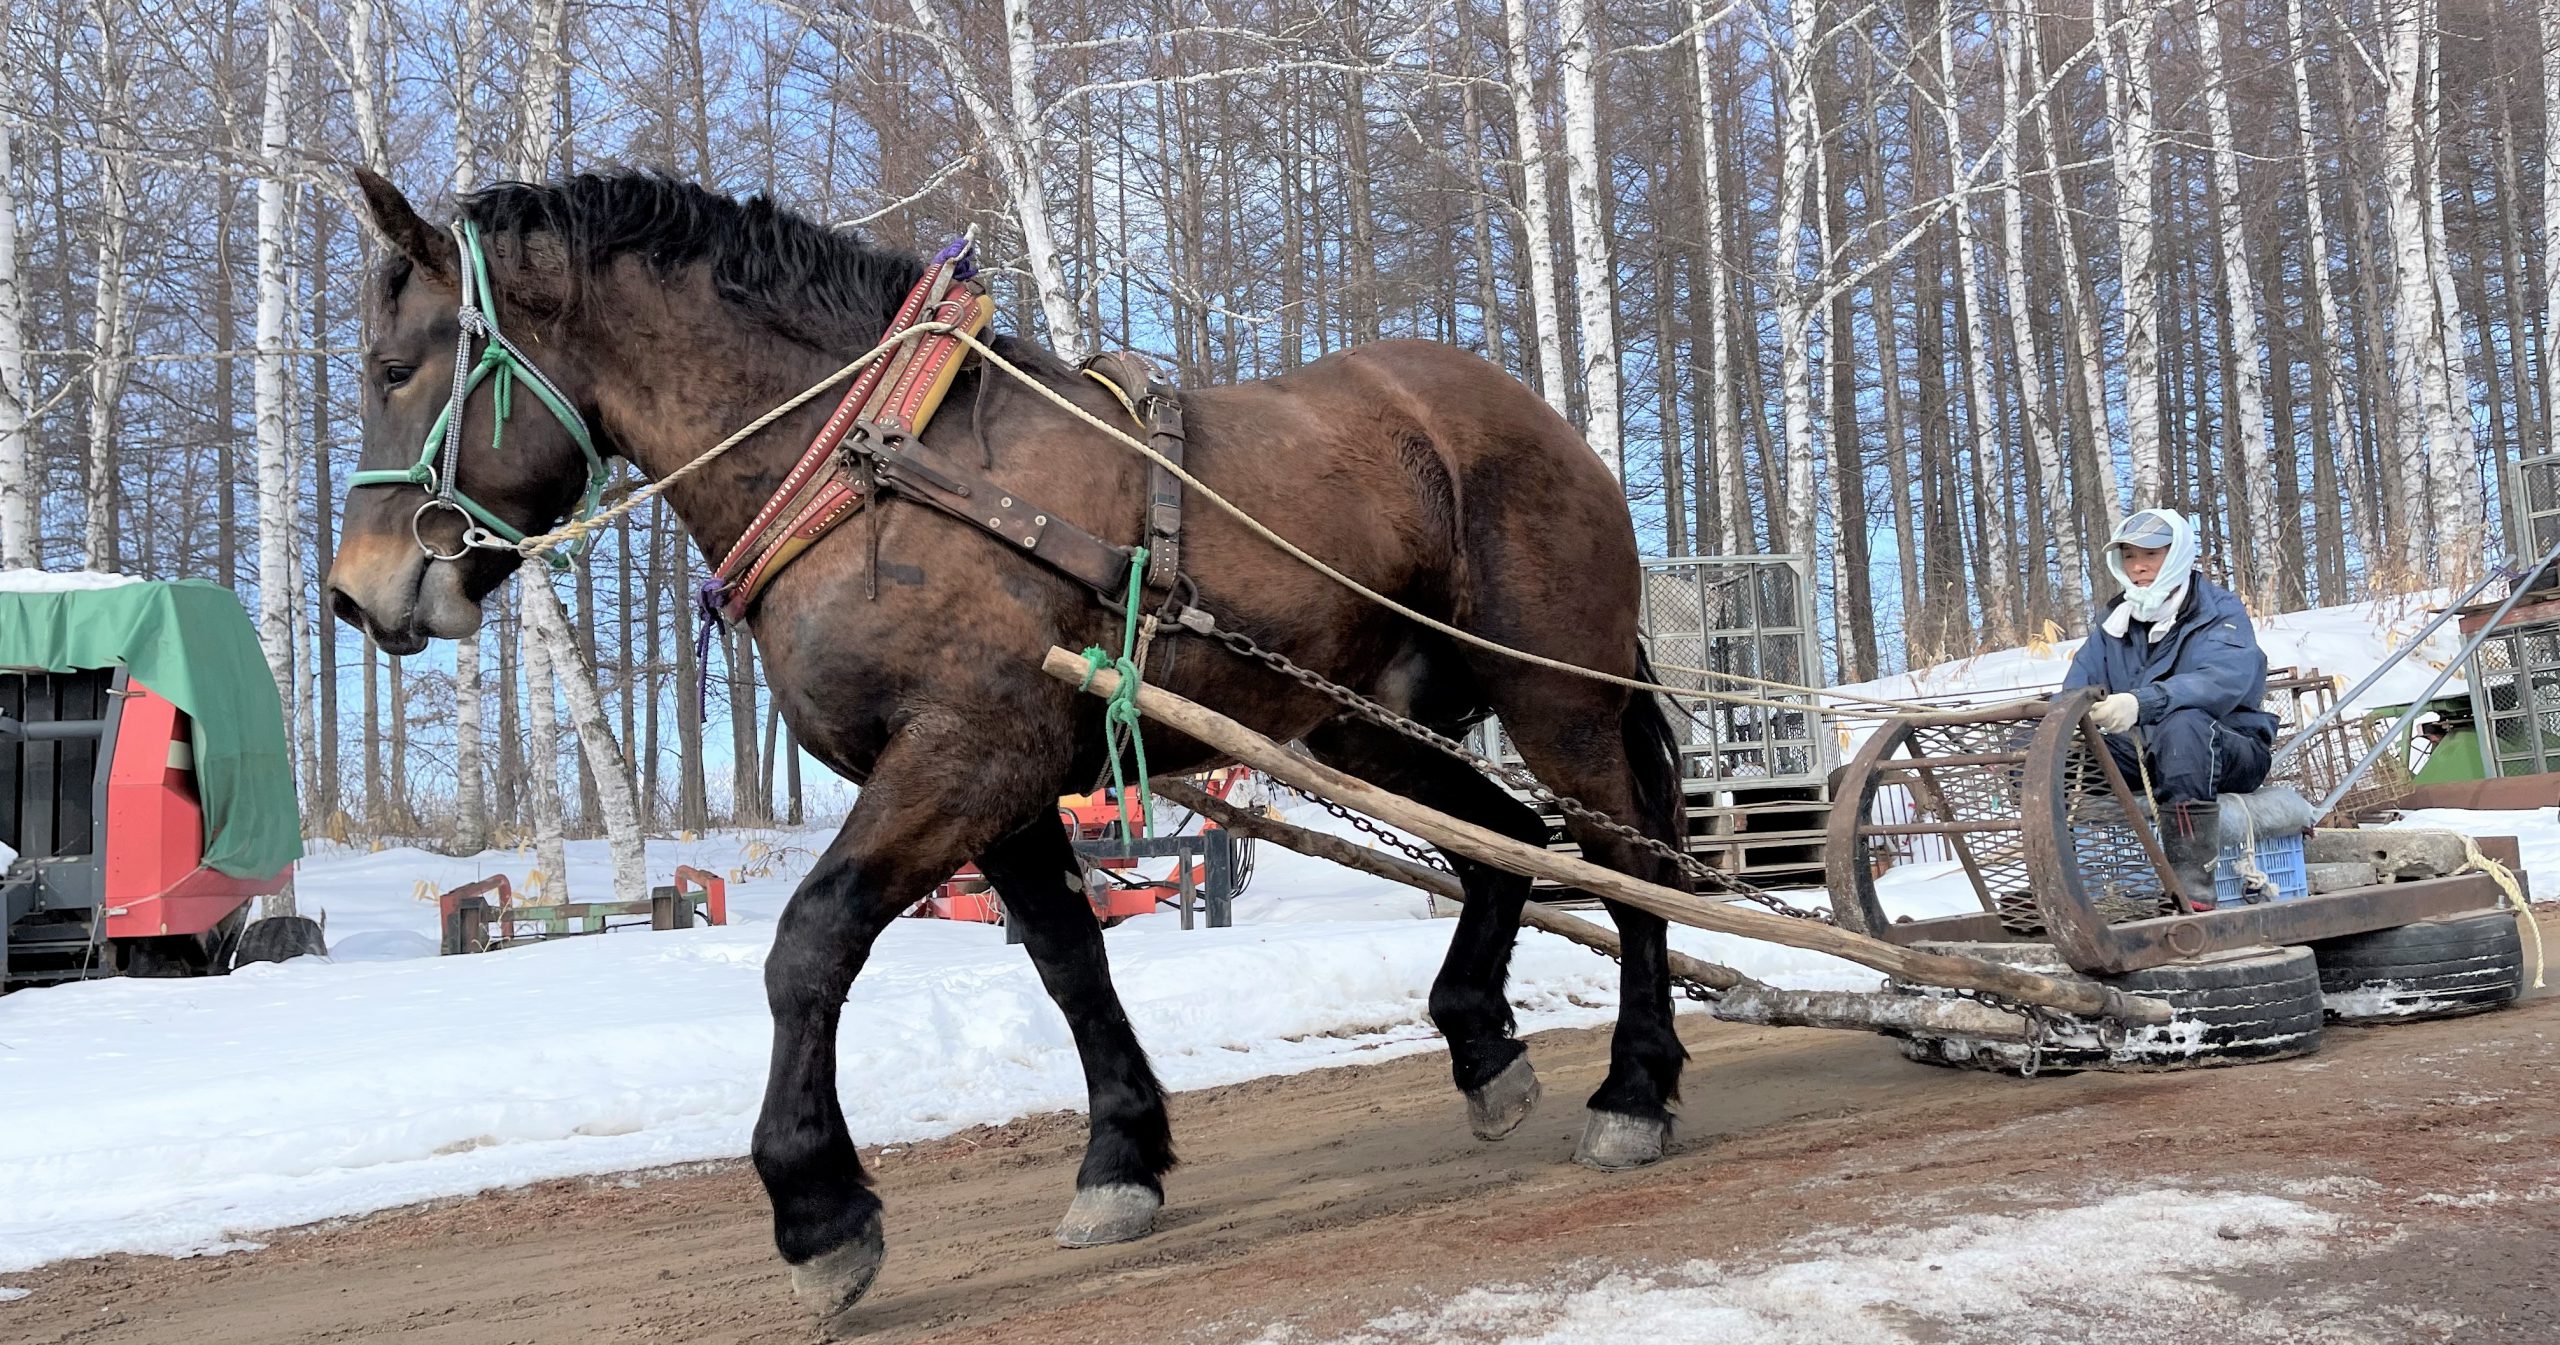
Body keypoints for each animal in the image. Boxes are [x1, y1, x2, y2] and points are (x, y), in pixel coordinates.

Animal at [335, 167, 1699, 1321]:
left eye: (394, 365)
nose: (356, 592)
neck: (867, 469)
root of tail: (1535, 420)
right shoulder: (1011, 788)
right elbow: (1068, 964)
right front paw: (1121, 1159)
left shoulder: (962, 756)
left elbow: (808, 945)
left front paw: (817, 1211)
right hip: (1364, 723)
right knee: (1505, 843)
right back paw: (1480, 1042)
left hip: (1554, 696)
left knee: (1631, 871)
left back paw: (1633, 1088)